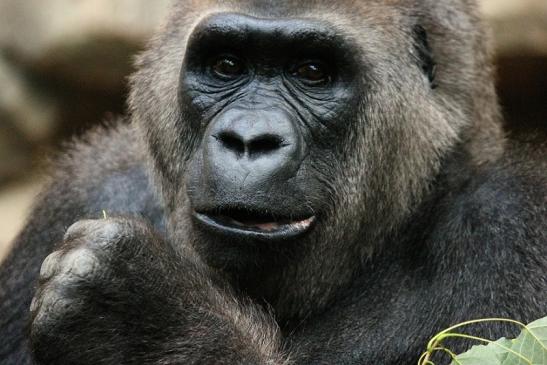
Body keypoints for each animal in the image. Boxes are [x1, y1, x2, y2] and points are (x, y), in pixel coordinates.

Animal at [1, 0, 547, 364]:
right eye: (226, 65)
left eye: (312, 71)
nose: (248, 138)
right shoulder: (90, 183)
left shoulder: (513, 222)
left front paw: (143, 319)